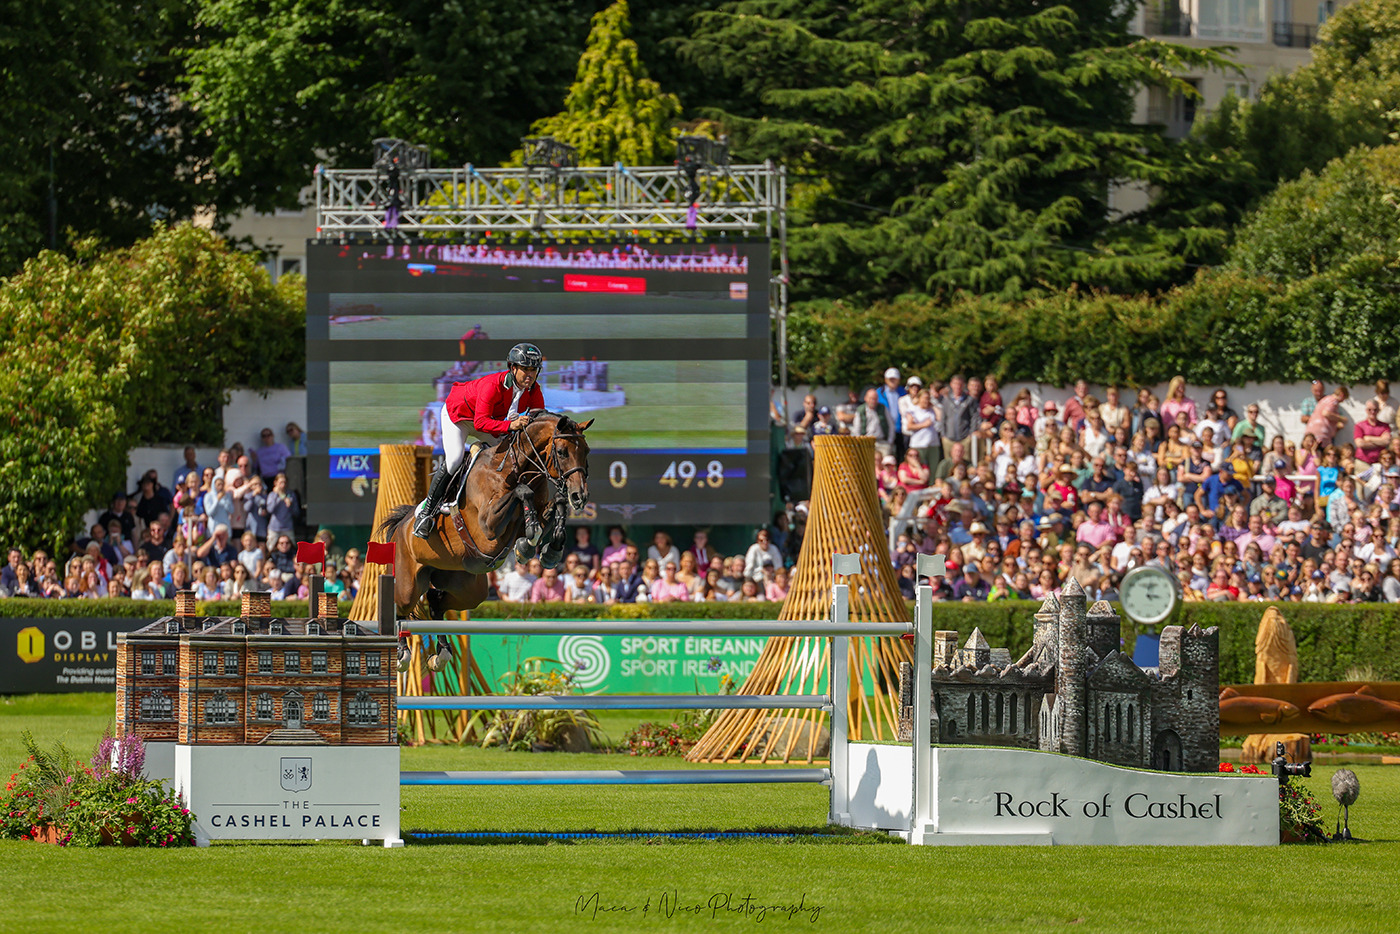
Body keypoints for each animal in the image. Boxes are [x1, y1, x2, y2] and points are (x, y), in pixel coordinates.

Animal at [377, 411, 593, 630]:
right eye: (562, 452)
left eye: (587, 451)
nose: (579, 496)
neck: (513, 468)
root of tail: (400, 526)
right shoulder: (488, 526)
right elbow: (523, 492)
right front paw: (529, 540)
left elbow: (557, 504)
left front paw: (547, 550)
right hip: (406, 588)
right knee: (401, 608)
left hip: (466, 585)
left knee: (436, 601)